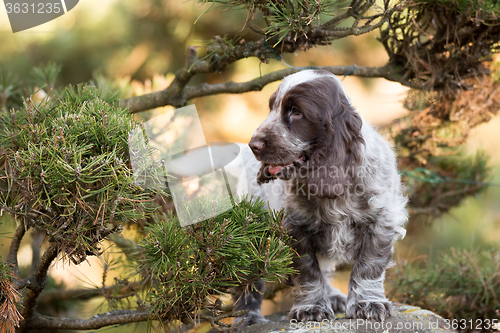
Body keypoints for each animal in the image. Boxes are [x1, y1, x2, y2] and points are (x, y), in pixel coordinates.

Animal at [232, 68, 408, 326]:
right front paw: (311, 308)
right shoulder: (295, 228)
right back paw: (248, 318)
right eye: (272, 107)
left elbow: (369, 265)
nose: (253, 145)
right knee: (247, 281)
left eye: (296, 112)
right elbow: (307, 272)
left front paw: (367, 303)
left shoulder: (381, 221)